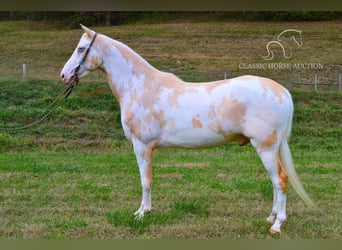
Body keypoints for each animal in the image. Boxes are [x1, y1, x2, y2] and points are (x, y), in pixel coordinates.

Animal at [60, 24, 314, 233]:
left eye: (81, 49)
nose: (64, 75)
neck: (140, 86)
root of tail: (282, 91)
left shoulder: (142, 146)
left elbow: (145, 180)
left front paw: (142, 213)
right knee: (275, 182)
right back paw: (270, 217)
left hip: (266, 148)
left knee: (280, 180)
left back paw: (277, 225)